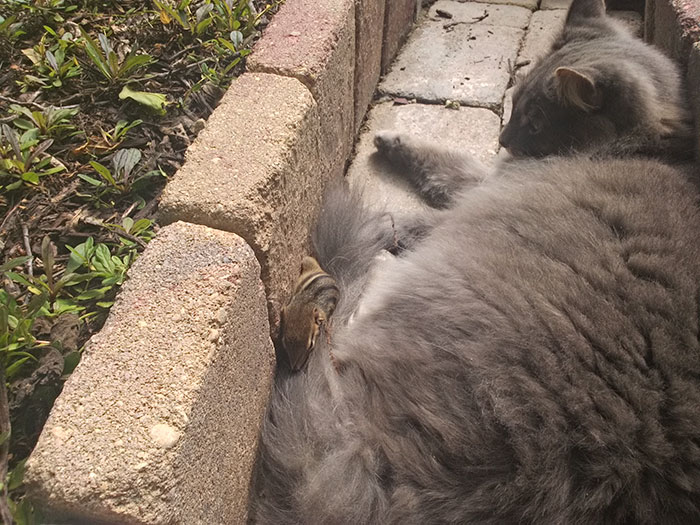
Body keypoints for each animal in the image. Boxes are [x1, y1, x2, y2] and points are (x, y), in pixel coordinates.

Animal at [252, 2, 700, 520]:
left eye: (535, 119)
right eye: (513, 103)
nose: (504, 137)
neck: (646, 144)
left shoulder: (488, 185)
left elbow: (443, 176)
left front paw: (395, 196)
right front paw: (392, 142)